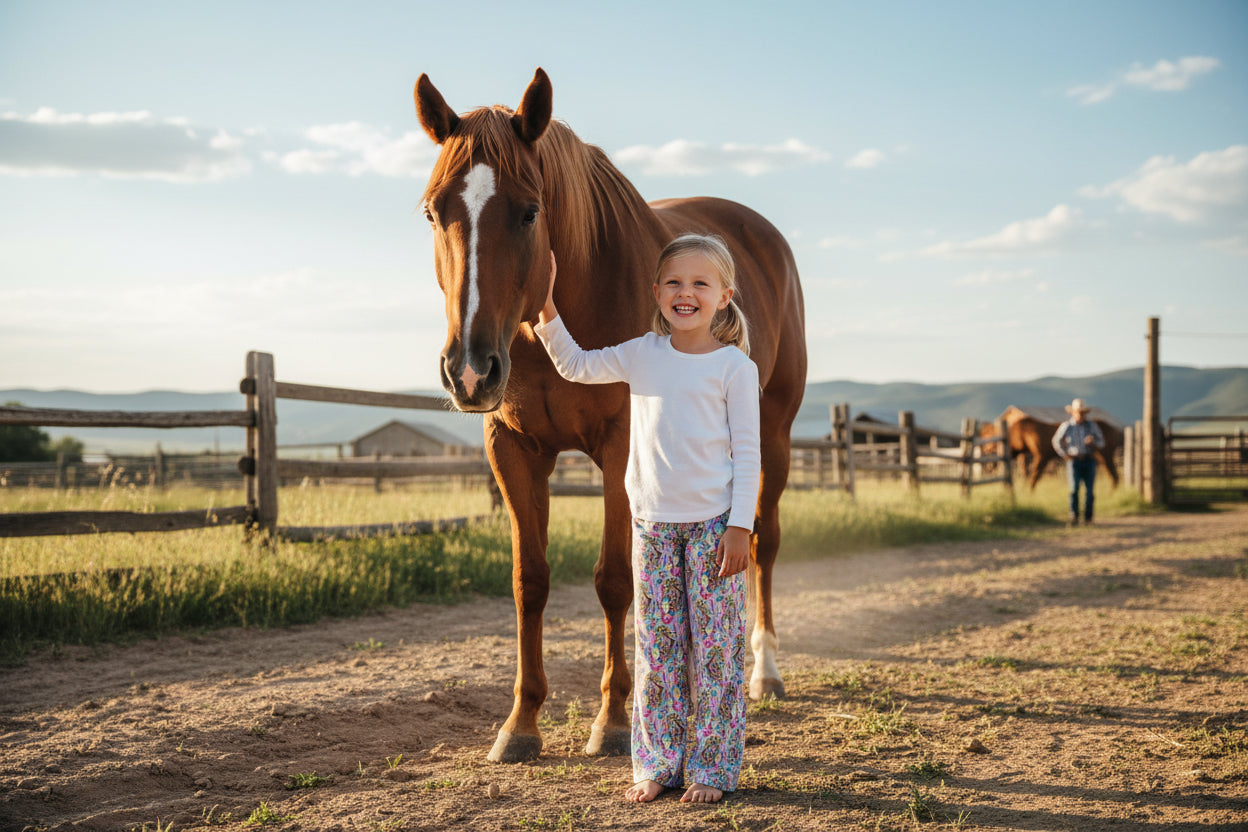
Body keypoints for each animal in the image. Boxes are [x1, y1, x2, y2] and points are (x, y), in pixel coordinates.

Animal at [413, 69, 807, 763]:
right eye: (435, 211)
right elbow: (530, 581)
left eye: (529, 211)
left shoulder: (622, 447)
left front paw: (616, 719)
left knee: (761, 542)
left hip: (774, 438)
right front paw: (521, 723)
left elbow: (615, 581)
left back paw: (763, 672)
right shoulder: (512, 449)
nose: (470, 370)